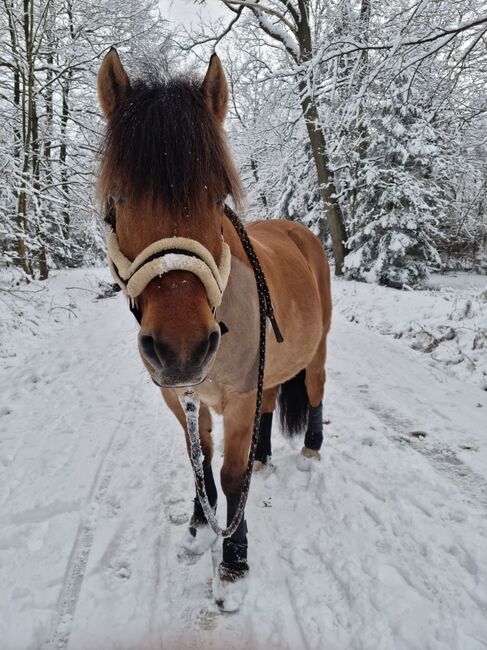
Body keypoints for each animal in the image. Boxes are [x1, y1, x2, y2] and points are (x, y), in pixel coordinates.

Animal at [96, 49, 332, 608]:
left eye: (218, 196)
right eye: (119, 199)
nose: (181, 347)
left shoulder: (238, 396)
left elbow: (228, 475)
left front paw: (235, 556)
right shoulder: (180, 394)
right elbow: (197, 458)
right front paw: (199, 522)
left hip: (316, 351)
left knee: (314, 388)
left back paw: (310, 448)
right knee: (273, 401)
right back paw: (264, 456)